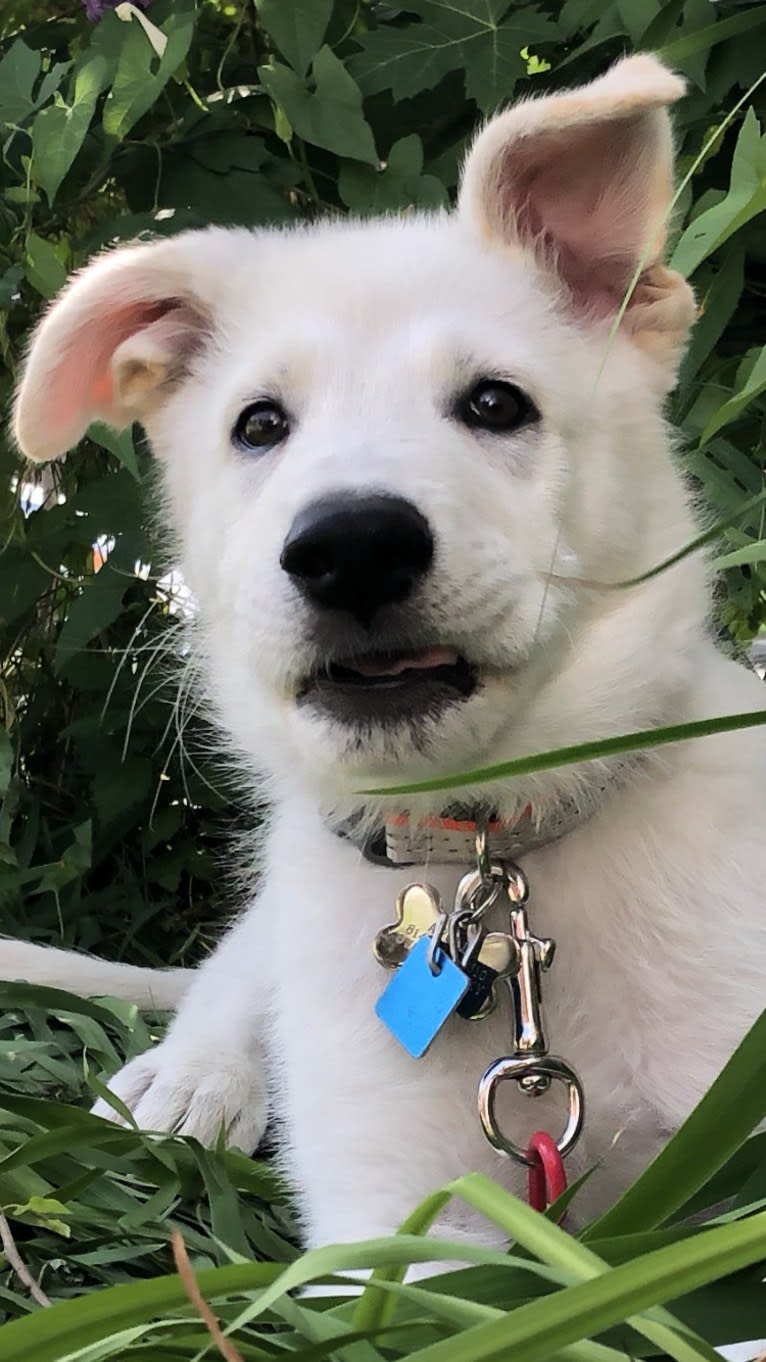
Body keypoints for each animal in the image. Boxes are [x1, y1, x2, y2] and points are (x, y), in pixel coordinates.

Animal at [5, 55, 763, 1253]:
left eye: (497, 402)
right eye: (258, 425)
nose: (351, 549)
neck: (492, 861)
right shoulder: (392, 1219)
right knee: (238, 961)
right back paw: (193, 1077)